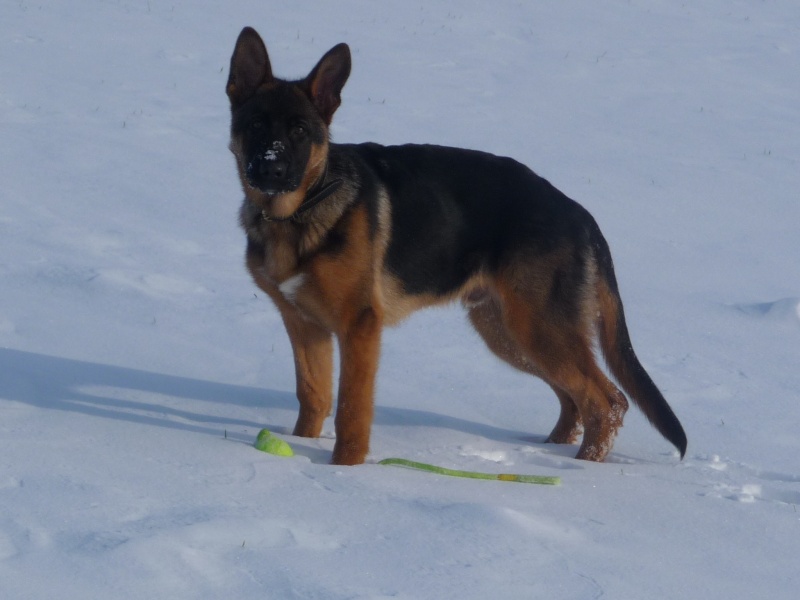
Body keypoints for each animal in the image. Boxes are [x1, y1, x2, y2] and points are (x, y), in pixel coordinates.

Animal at [225, 28, 688, 466]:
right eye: (256, 126)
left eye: (300, 132)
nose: (270, 169)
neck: (299, 211)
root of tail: (582, 216)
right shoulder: (305, 324)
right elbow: (313, 397)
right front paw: (301, 448)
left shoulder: (359, 326)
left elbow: (351, 409)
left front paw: (344, 469)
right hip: (510, 333)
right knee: (575, 400)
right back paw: (550, 452)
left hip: (537, 329)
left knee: (608, 402)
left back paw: (583, 470)